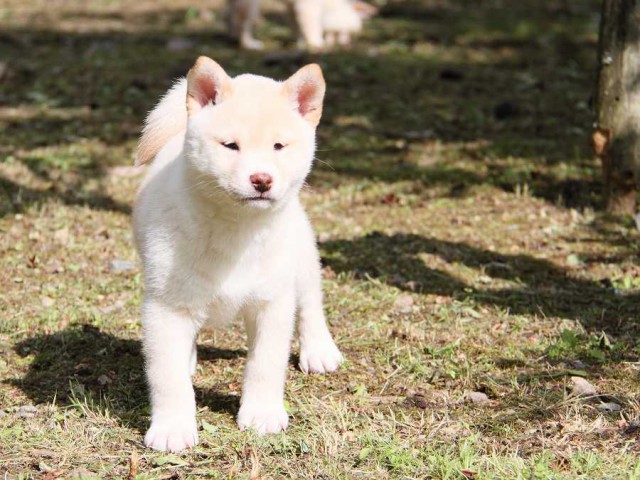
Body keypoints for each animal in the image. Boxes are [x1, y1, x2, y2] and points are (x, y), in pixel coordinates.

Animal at [134, 57, 344, 454]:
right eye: (230, 146)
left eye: (279, 146)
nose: (262, 180)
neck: (236, 228)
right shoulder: (165, 308)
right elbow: (167, 377)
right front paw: (173, 428)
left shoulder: (272, 304)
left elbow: (265, 365)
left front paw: (261, 414)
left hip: (301, 256)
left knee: (311, 302)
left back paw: (319, 349)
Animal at [229, 0, 376, 49]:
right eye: (340, 34)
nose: (346, 44)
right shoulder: (308, 5)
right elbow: (310, 23)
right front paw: (316, 42)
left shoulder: (292, 7)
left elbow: (294, 22)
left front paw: (299, 40)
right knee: (242, 22)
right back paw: (247, 43)